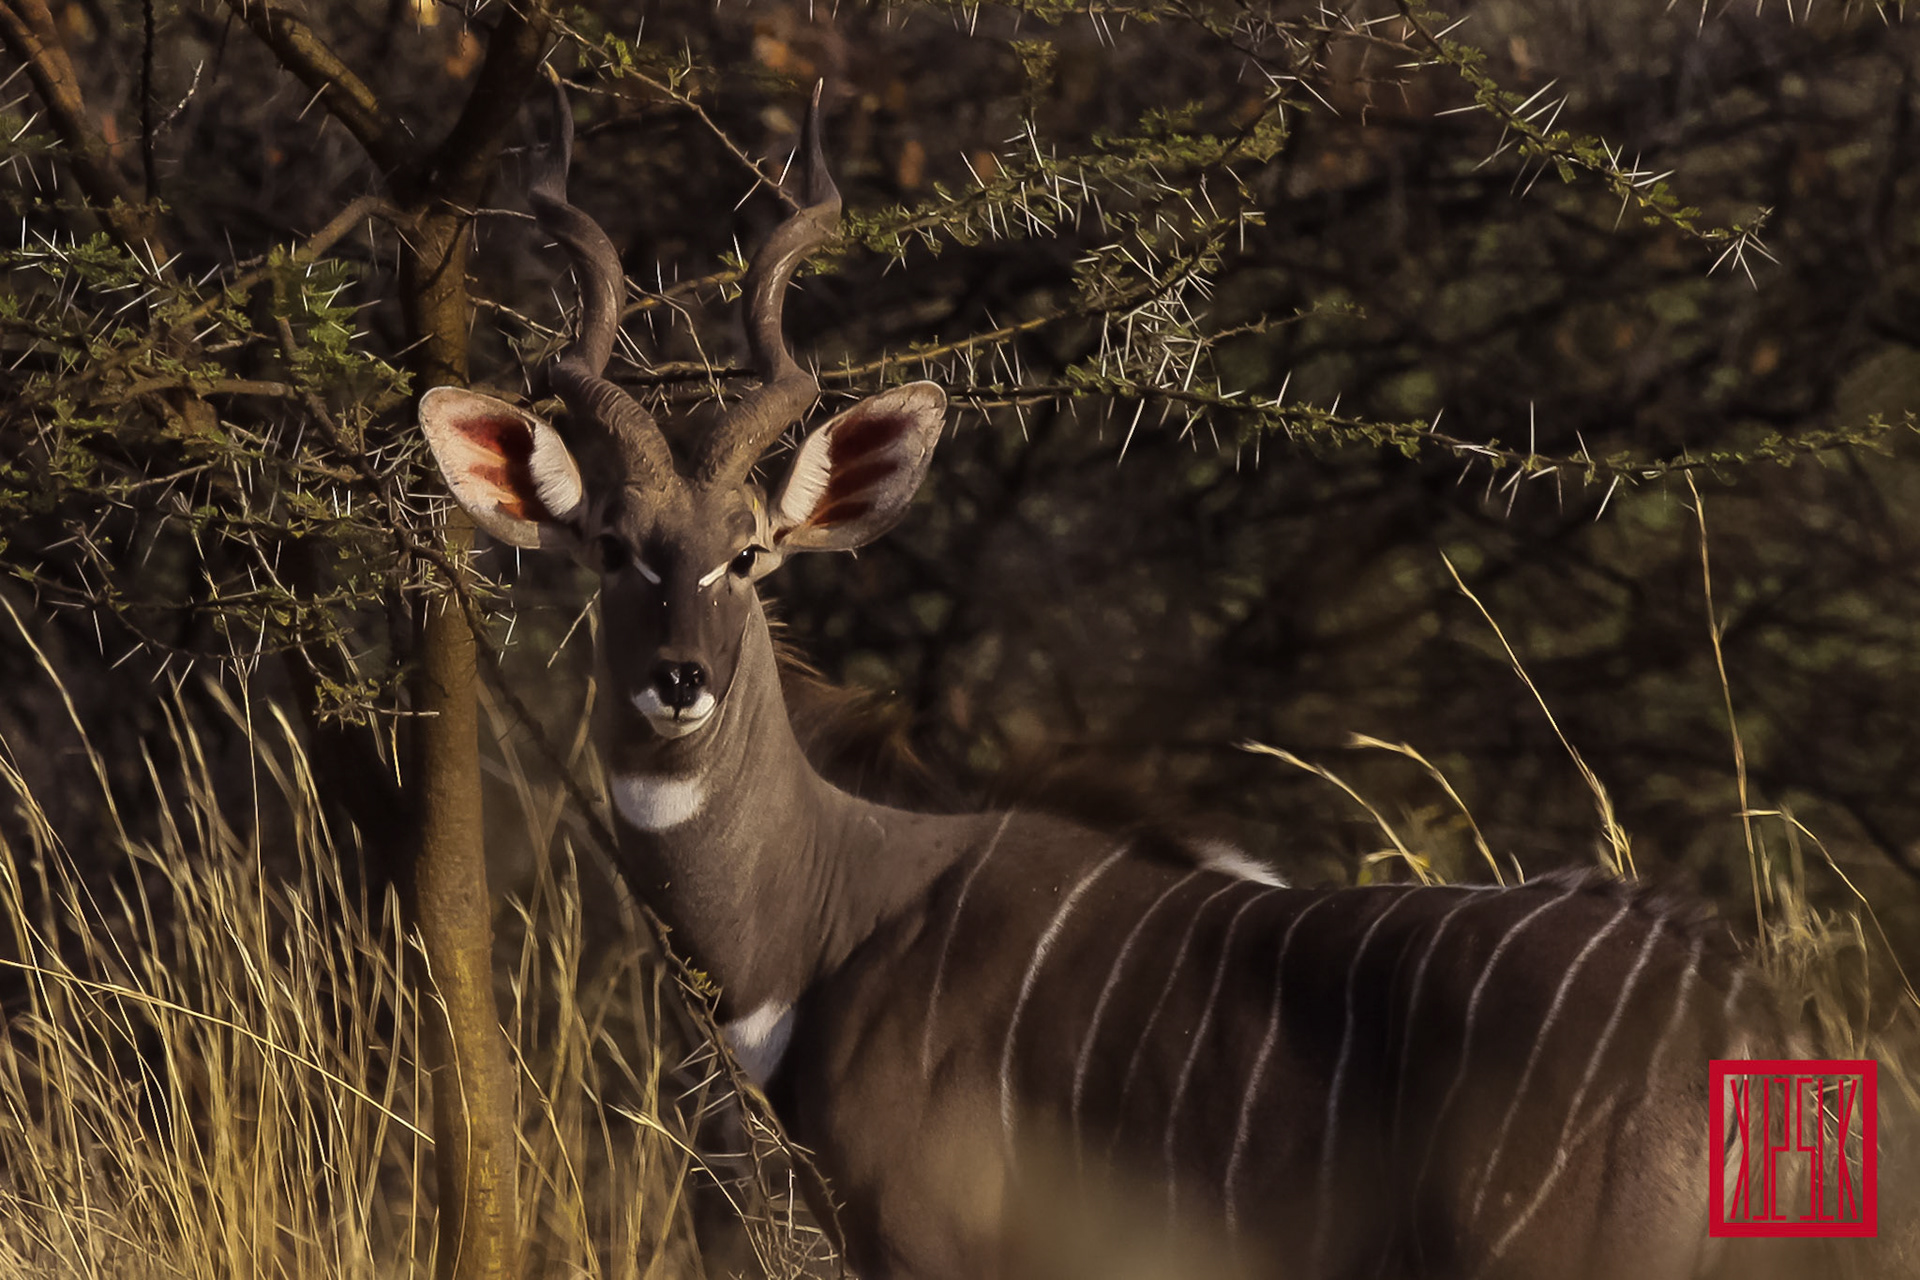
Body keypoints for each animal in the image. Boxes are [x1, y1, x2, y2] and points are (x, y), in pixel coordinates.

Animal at [419, 83, 1869, 1280]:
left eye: (749, 552)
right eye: (616, 548)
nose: (679, 682)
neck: (835, 910)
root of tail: (1738, 1006)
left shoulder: (940, 1250)